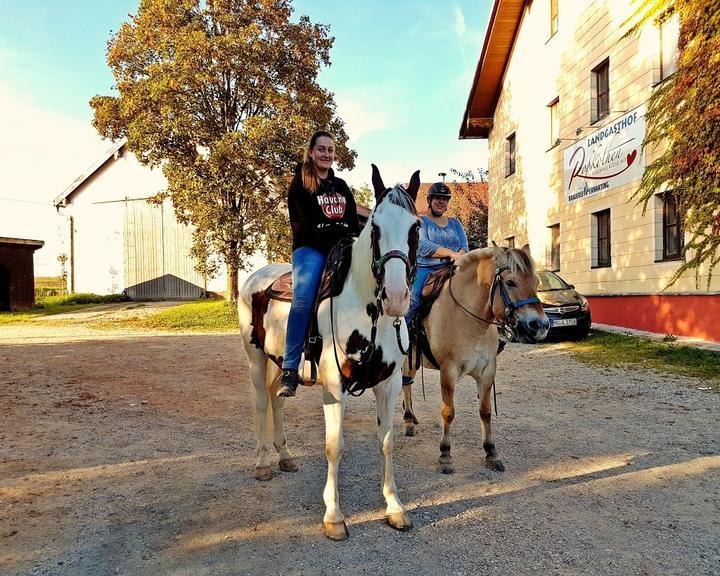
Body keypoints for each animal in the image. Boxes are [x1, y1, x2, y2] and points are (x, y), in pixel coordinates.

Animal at [239, 163, 422, 540]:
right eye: (375, 228)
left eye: (416, 227)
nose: (397, 297)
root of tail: (257, 276)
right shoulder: (335, 386)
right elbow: (334, 445)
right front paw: (334, 516)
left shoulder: (390, 383)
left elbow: (386, 442)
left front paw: (395, 508)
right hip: (256, 359)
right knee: (262, 403)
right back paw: (263, 463)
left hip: (280, 364)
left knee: (277, 399)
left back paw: (285, 456)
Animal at [402, 243, 548, 472]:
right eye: (510, 282)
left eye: (536, 282)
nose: (540, 325)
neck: (469, 319)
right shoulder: (448, 371)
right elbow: (448, 412)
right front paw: (445, 455)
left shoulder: (487, 372)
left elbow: (485, 411)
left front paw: (491, 453)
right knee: (404, 384)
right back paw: (408, 420)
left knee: (407, 384)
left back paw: (412, 418)